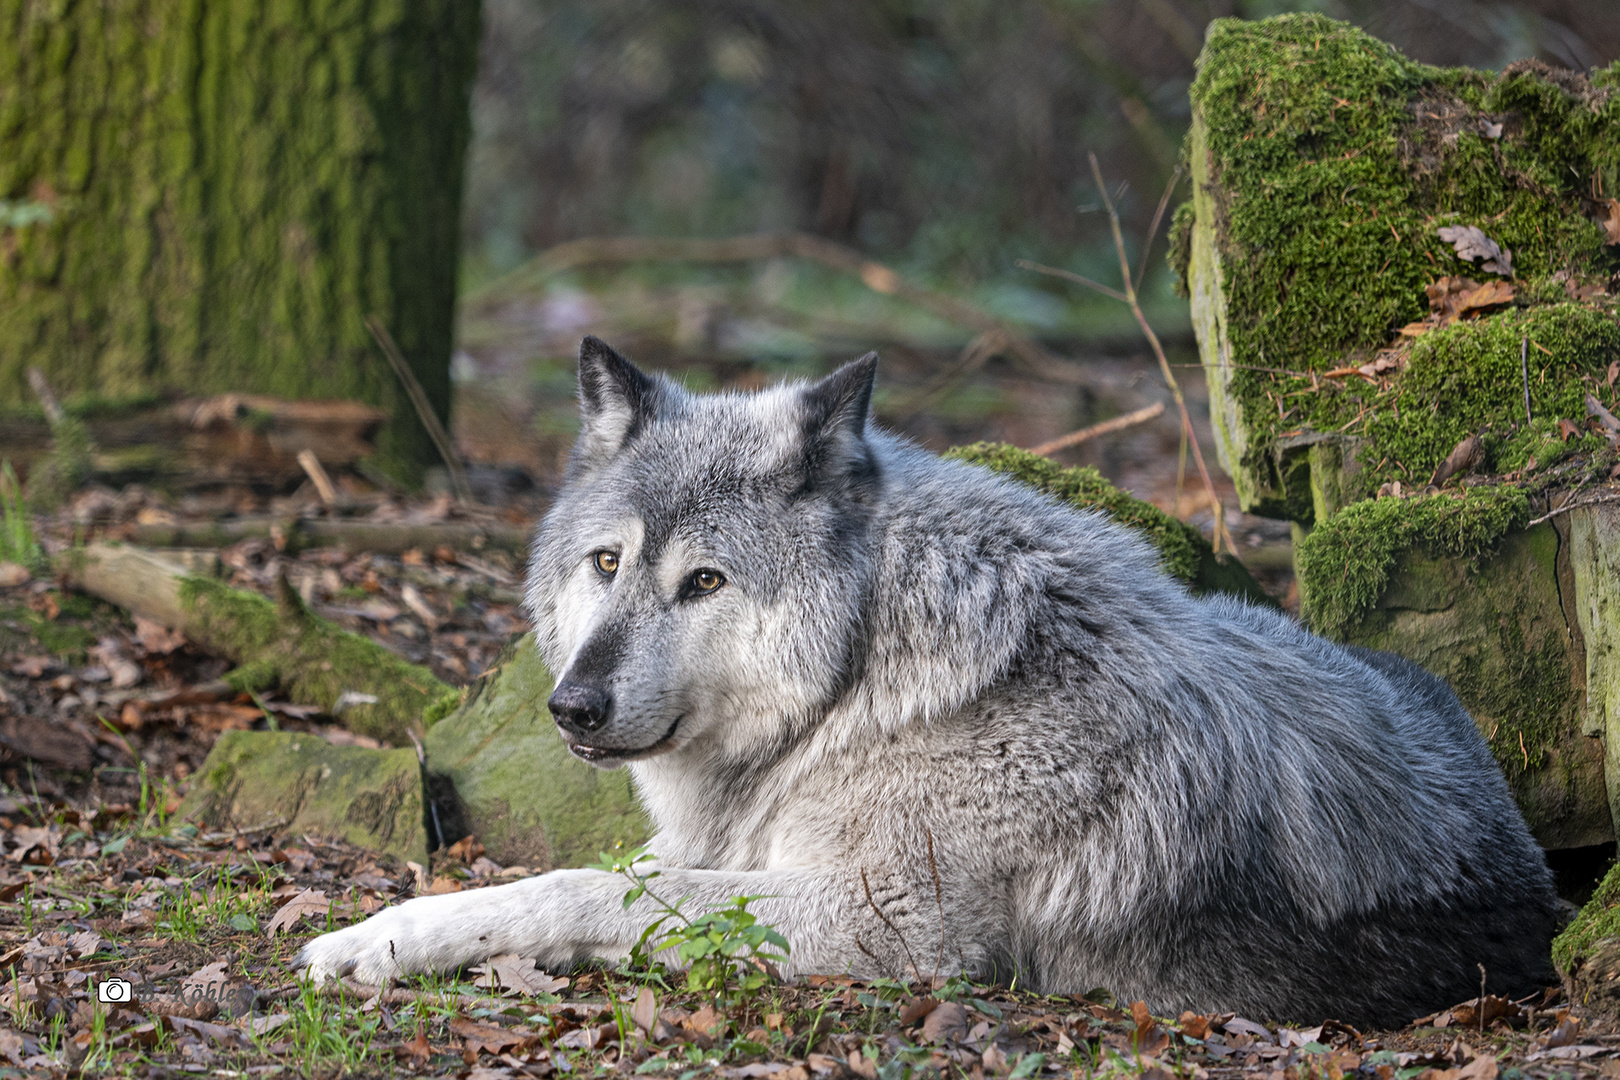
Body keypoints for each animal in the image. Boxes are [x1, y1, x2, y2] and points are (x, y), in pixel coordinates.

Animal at [298, 333, 1561, 1029]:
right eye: (608, 564)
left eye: (704, 582)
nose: (573, 705)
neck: (860, 683)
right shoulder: (732, 851)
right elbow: (547, 879)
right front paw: (383, 935)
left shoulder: (883, 928)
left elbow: (581, 890)